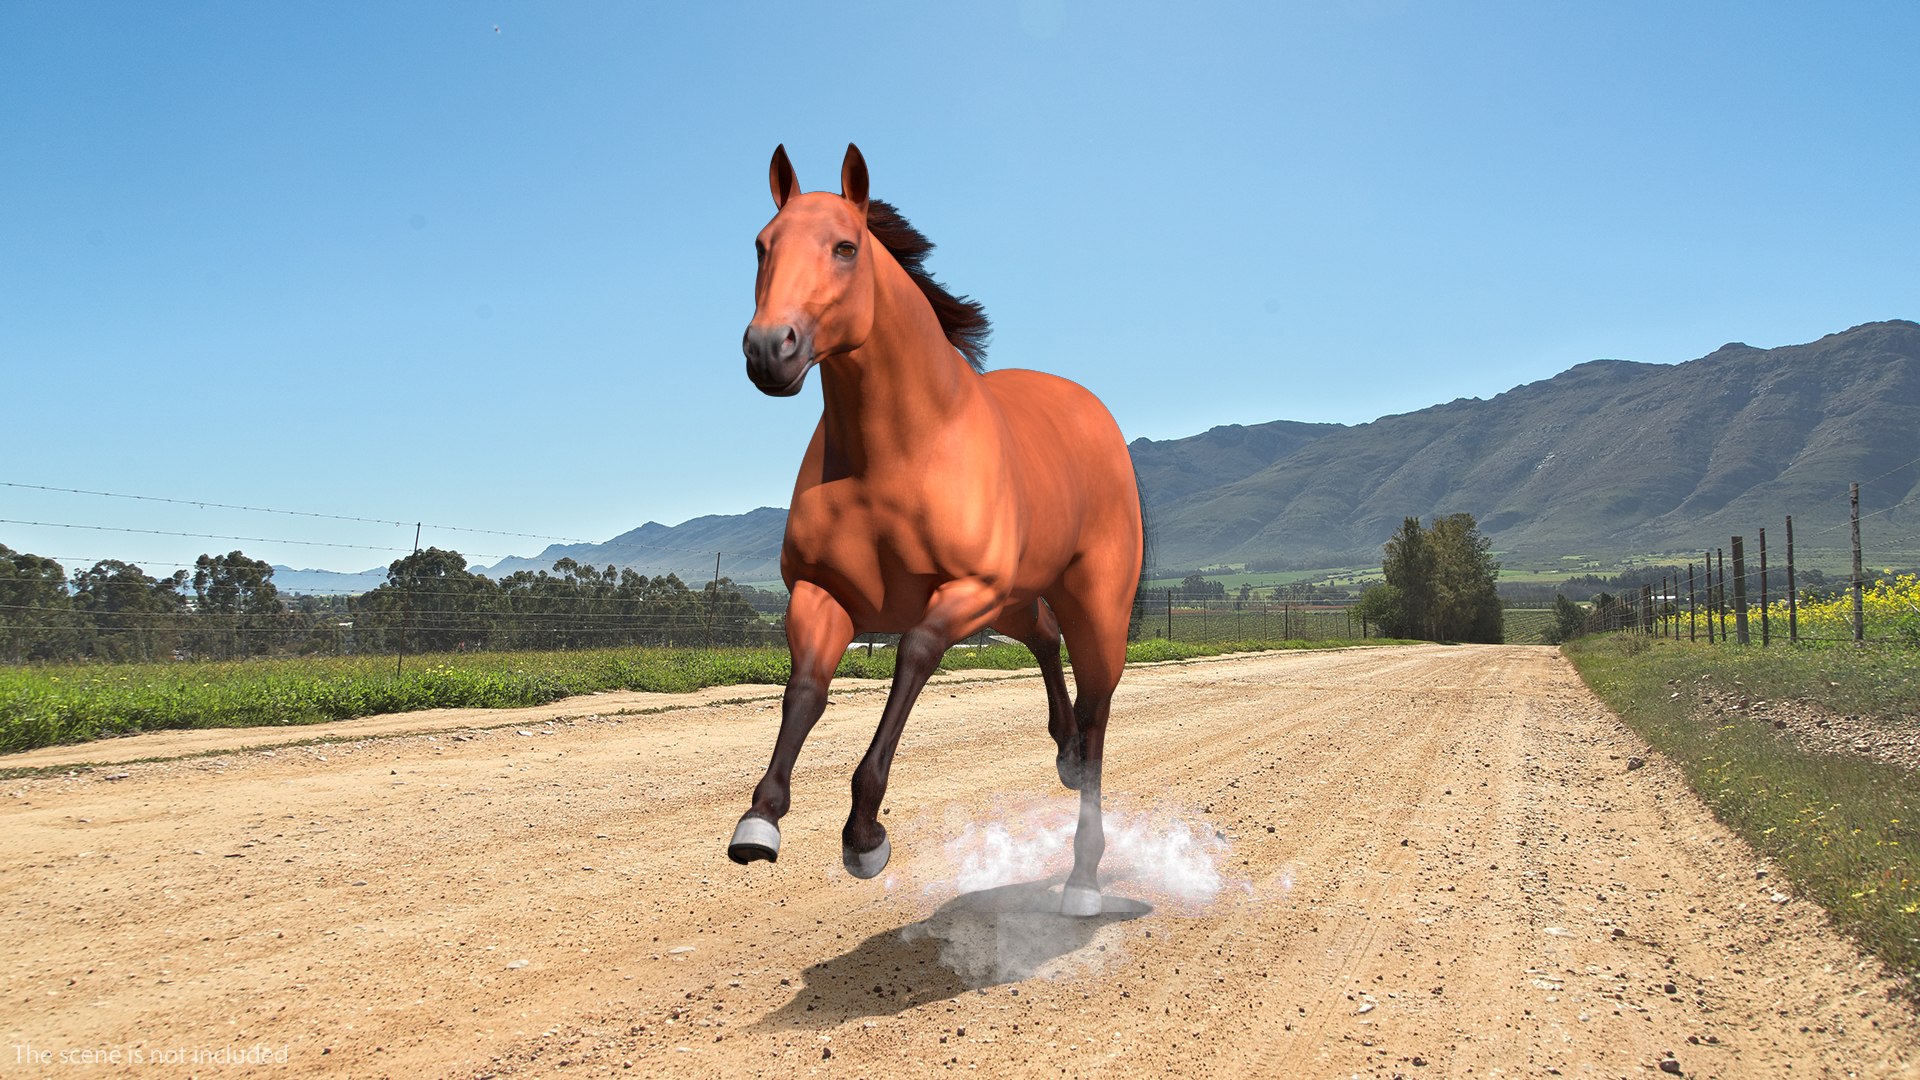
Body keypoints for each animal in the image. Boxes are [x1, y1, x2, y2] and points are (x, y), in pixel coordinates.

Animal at [728, 144, 1143, 917]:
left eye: (845, 247)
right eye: (762, 245)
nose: (770, 350)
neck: (896, 452)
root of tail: (1089, 408)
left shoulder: (965, 590)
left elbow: (913, 654)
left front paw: (864, 834)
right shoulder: (823, 591)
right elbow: (806, 688)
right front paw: (759, 819)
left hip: (1092, 605)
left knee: (1099, 709)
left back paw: (1082, 878)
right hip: (1016, 600)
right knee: (1047, 639)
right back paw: (1064, 756)